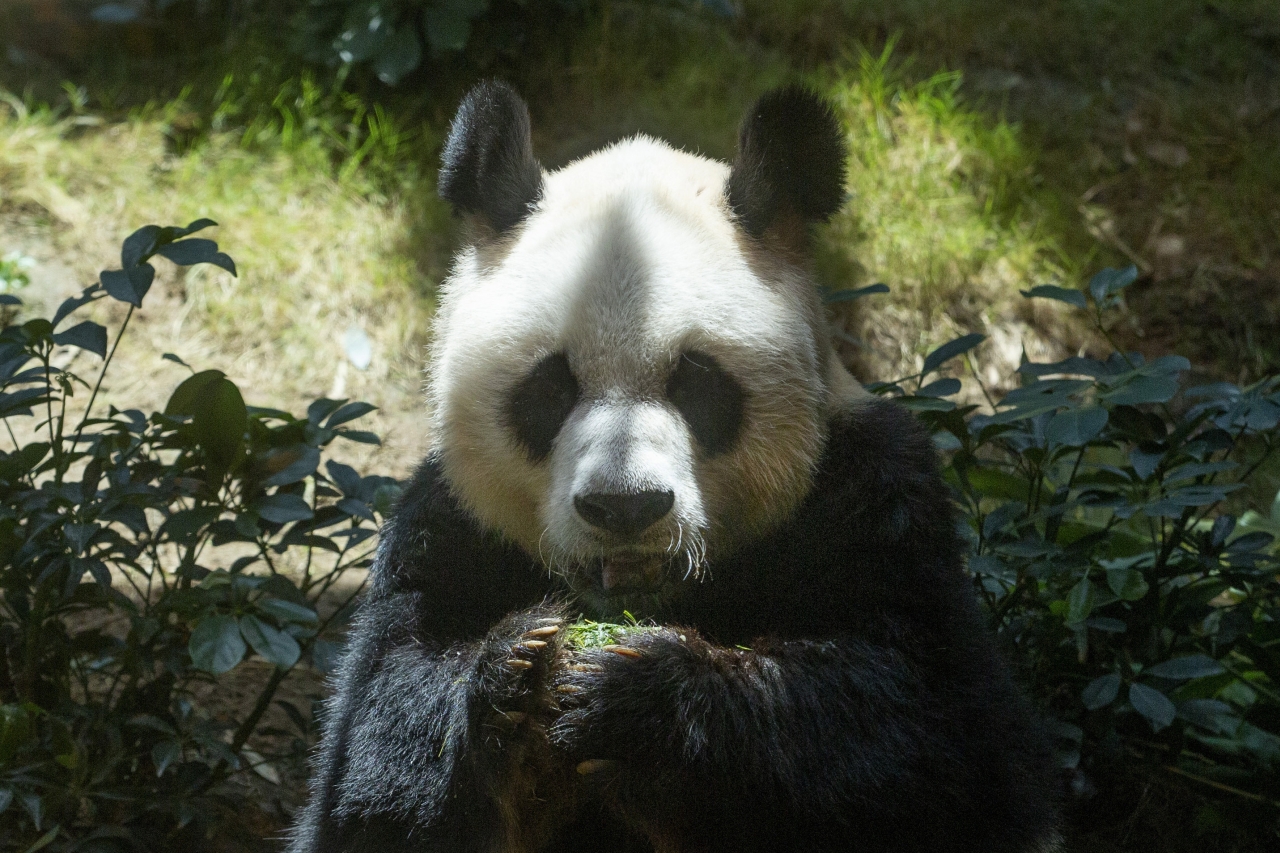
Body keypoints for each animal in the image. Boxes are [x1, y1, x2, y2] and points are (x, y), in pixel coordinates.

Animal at [290, 79, 1059, 850]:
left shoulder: (874, 501)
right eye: (552, 387)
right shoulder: (445, 529)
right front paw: (516, 677)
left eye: (696, 382)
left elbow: (938, 740)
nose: (624, 506)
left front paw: (646, 699)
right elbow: (369, 765)